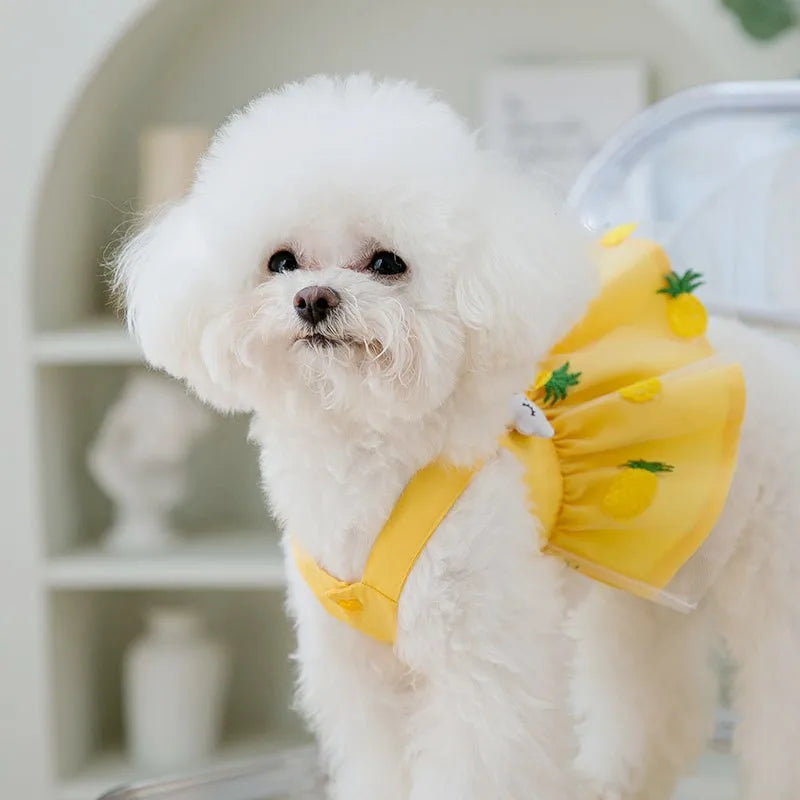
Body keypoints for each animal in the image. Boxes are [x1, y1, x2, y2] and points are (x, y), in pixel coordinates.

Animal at [115, 73, 800, 792]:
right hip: (648, 579)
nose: (314, 299)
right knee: (655, 700)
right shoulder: (358, 671)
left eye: (387, 262)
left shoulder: (483, 661)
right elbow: (380, 762)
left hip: (773, 581)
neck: (363, 455)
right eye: (281, 262)